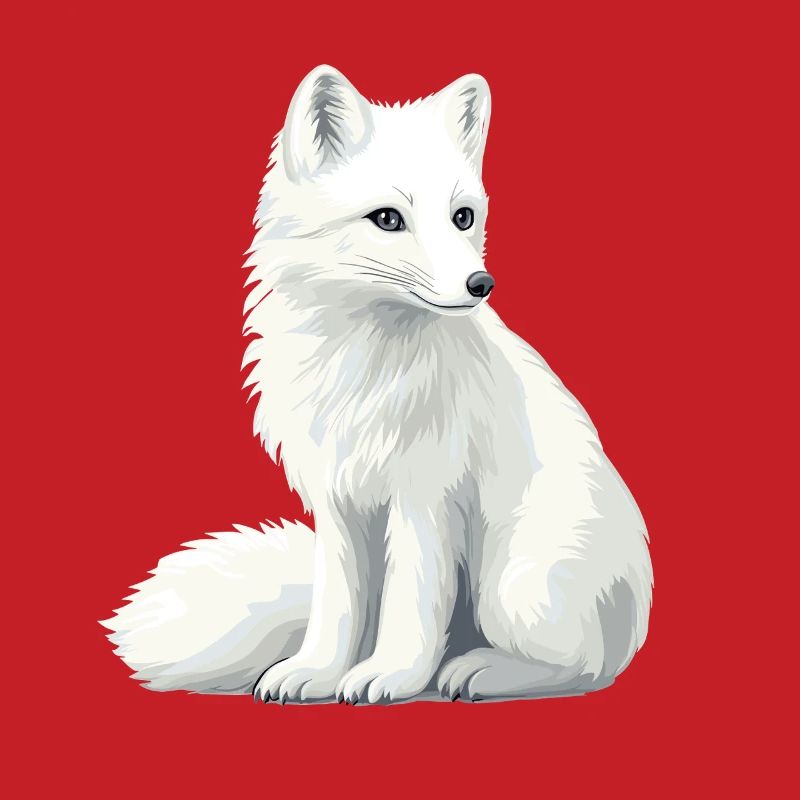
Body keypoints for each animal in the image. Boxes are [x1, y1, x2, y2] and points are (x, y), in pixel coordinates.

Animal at [102, 65, 653, 704]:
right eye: (388, 218)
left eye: (463, 216)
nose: (481, 283)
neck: (365, 362)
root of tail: (635, 612)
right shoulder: (337, 501)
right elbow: (338, 606)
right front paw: (317, 671)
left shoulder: (425, 498)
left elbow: (411, 603)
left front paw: (390, 674)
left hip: (515, 589)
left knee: (586, 665)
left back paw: (478, 671)